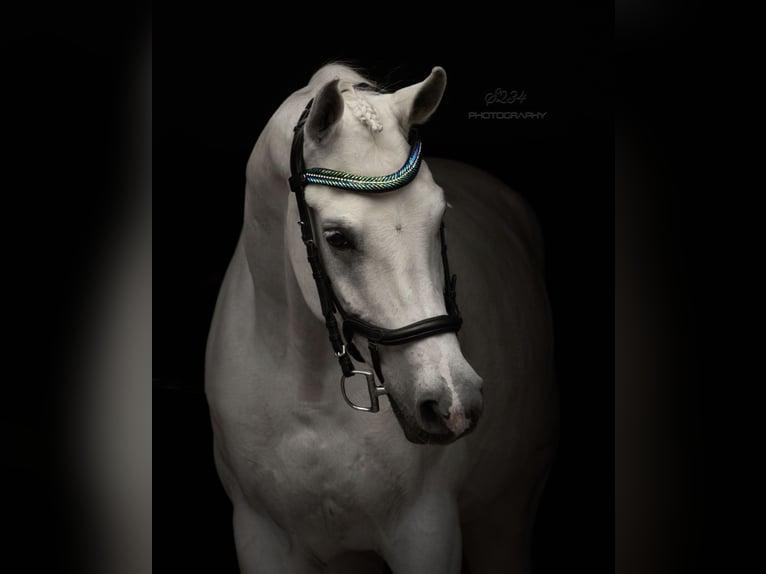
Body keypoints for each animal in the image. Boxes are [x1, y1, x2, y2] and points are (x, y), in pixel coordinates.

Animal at [205, 63, 558, 573]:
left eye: (439, 217)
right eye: (337, 238)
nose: (452, 402)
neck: (308, 396)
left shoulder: (425, 532)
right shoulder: (261, 537)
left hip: (505, 516)